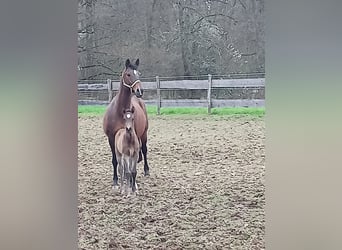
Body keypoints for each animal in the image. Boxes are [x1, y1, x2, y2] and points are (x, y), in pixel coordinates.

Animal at [102, 58, 149, 188]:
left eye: (139, 73)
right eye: (128, 74)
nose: (139, 90)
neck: (120, 111)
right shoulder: (111, 138)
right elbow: (115, 160)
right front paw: (115, 180)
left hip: (144, 133)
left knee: (144, 150)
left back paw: (146, 170)